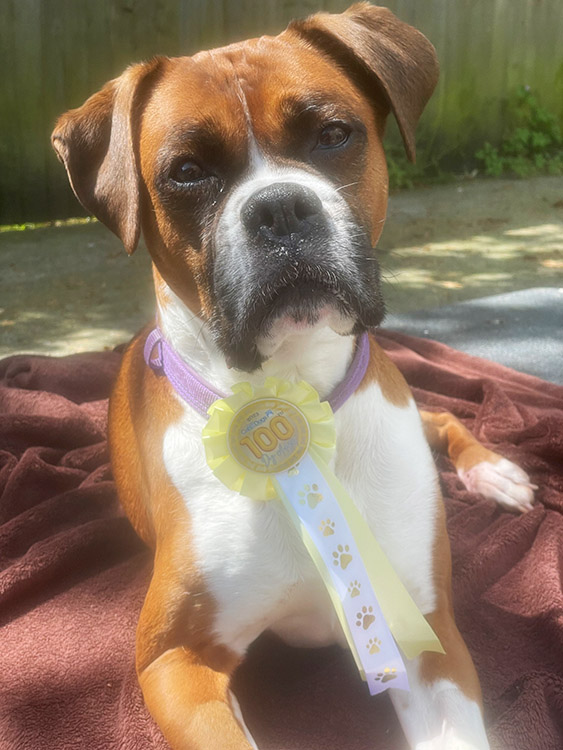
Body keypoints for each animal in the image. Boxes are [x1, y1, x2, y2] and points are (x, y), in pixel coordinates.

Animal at [54, 2, 536, 748]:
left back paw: (496, 471)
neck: (294, 391)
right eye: (187, 170)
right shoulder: (175, 658)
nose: (279, 208)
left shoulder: (427, 634)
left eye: (333, 134)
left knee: (440, 412)